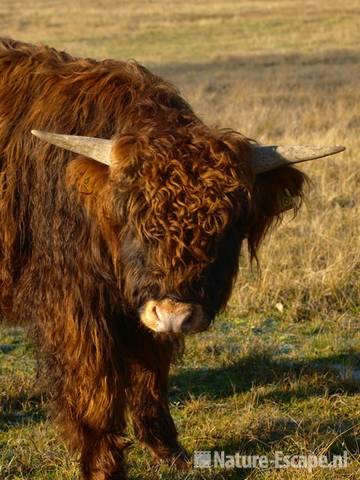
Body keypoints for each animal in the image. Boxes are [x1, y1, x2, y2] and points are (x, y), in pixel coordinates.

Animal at [0, 38, 344, 480]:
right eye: (136, 218)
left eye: (227, 224)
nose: (173, 313)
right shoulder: (73, 305)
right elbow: (95, 387)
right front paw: (103, 466)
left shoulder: (142, 315)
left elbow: (151, 376)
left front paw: (169, 451)